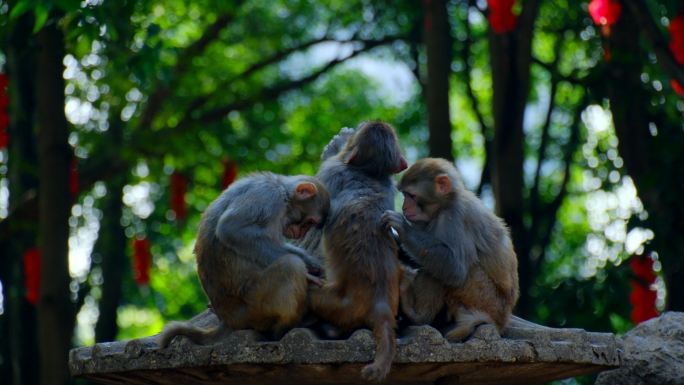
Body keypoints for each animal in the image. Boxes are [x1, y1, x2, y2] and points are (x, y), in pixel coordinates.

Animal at [160, 172, 332, 346]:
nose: (301, 233)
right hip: (253, 306)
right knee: (290, 265)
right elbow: (231, 229)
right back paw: (283, 329)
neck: (283, 190)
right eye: (309, 222)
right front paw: (309, 273)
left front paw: (312, 263)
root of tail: (228, 320)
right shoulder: (268, 196)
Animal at [380, 158, 520, 340]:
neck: (445, 203)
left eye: (411, 196)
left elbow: (456, 268)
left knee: (443, 271)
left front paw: (403, 228)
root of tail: (501, 321)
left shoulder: (454, 217)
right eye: (405, 195)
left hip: (485, 298)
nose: (404, 207)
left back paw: (418, 316)